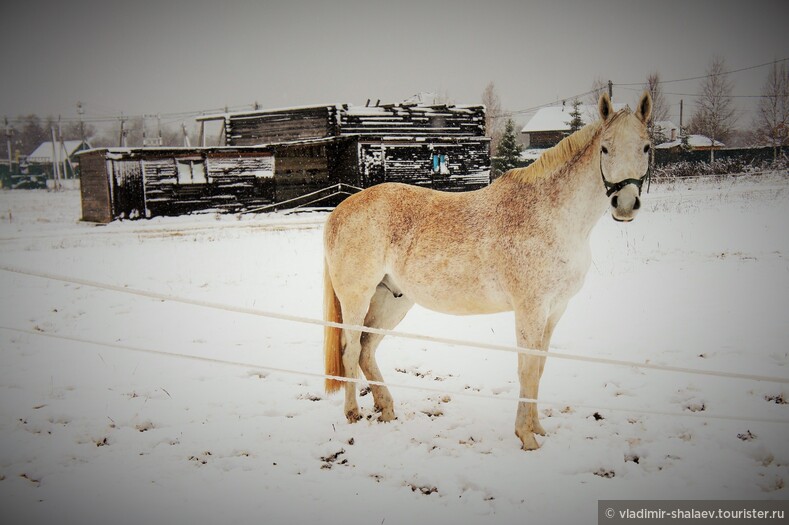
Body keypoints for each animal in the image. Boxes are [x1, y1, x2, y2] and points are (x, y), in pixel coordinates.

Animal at [322, 92, 652, 448]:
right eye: (605, 148)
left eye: (646, 147)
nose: (624, 205)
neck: (551, 215)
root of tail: (340, 210)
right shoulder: (530, 309)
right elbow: (526, 369)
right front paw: (526, 437)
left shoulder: (555, 309)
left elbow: (539, 367)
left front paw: (538, 429)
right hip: (357, 298)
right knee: (351, 350)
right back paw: (352, 413)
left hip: (392, 300)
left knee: (367, 350)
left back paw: (386, 408)